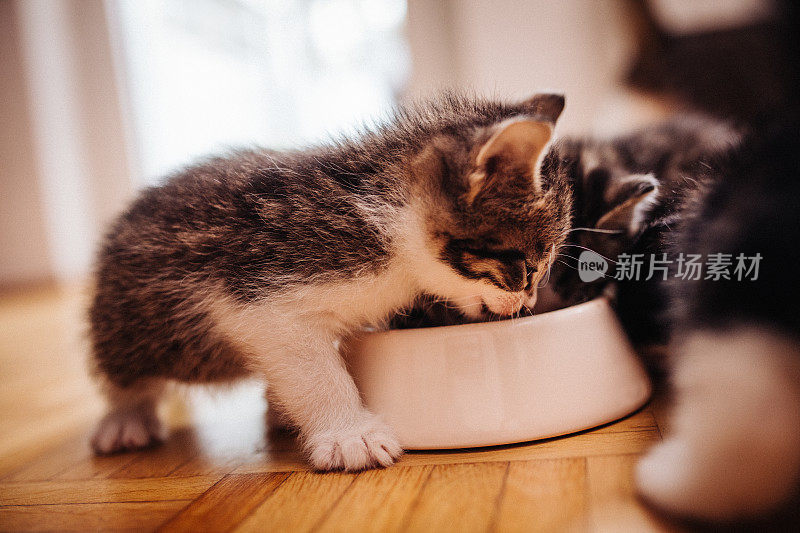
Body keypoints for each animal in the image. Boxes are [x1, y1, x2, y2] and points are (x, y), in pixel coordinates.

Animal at [90, 92, 572, 470]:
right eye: (527, 270)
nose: (530, 303)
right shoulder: (263, 291)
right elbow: (314, 370)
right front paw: (350, 435)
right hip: (132, 316)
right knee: (123, 370)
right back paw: (125, 418)